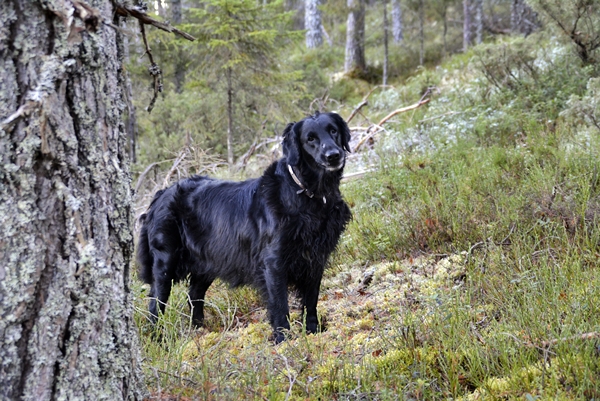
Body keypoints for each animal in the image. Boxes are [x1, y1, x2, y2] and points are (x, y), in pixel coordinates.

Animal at [136, 111, 352, 340]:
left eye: (333, 131)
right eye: (310, 138)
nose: (333, 155)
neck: (308, 193)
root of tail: (161, 194)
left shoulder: (316, 259)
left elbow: (311, 302)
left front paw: (313, 332)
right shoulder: (273, 263)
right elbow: (280, 305)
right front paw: (284, 340)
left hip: (208, 262)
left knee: (194, 295)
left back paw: (200, 330)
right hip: (165, 263)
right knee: (156, 303)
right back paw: (157, 338)